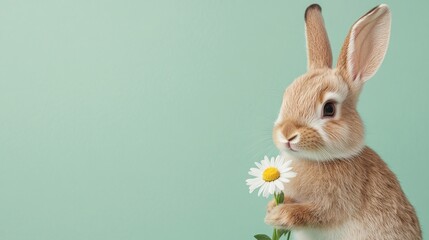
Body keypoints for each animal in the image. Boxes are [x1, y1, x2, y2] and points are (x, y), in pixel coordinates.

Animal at [264, 3, 422, 240]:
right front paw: (271, 208)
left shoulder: (337, 202)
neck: (319, 160)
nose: (287, 134)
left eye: (329, 109)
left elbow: (316, 212)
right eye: (287, 95)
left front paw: (279, 215)